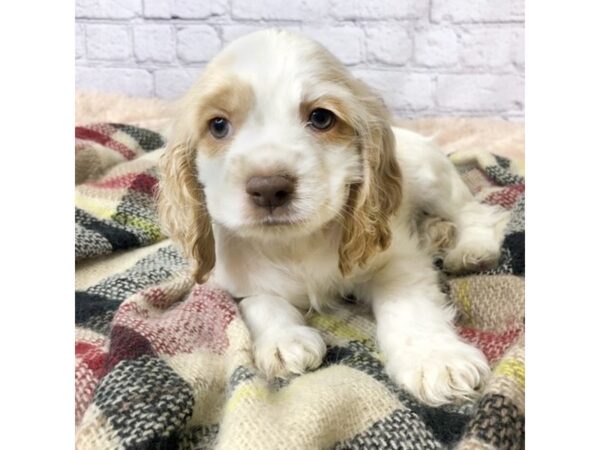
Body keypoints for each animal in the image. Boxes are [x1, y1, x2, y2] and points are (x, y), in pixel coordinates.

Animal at [157, 29, 508, 408]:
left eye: (322, 118)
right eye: (218, 125)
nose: (269, 188)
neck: (293, 244)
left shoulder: (397, 260)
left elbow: (408, 304)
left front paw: (435, 359)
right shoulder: (236, 281)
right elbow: (261, 301)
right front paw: (285, 341)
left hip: (432, 178)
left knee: (475, 212)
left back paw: (471, 250)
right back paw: (435, 233)